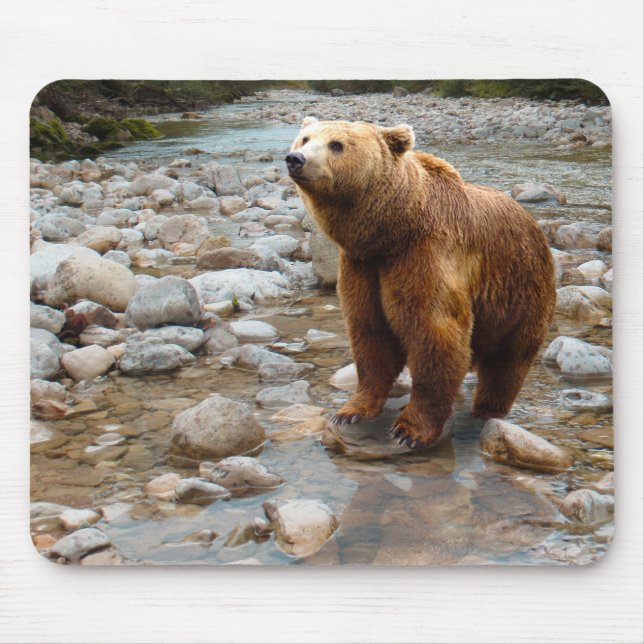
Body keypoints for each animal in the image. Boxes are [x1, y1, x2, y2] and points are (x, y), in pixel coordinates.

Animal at [286, 117, 556, 449]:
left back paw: (487, 409)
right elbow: (370, 333)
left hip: (520, 289)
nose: (296, 159)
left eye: (336, 144)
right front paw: (350, 411)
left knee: (508, 360)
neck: (393, 230)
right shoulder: (363, 267)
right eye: (305, 138)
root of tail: (533, 222)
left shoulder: (425, 255)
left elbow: (435, 333)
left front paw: (409, 430)